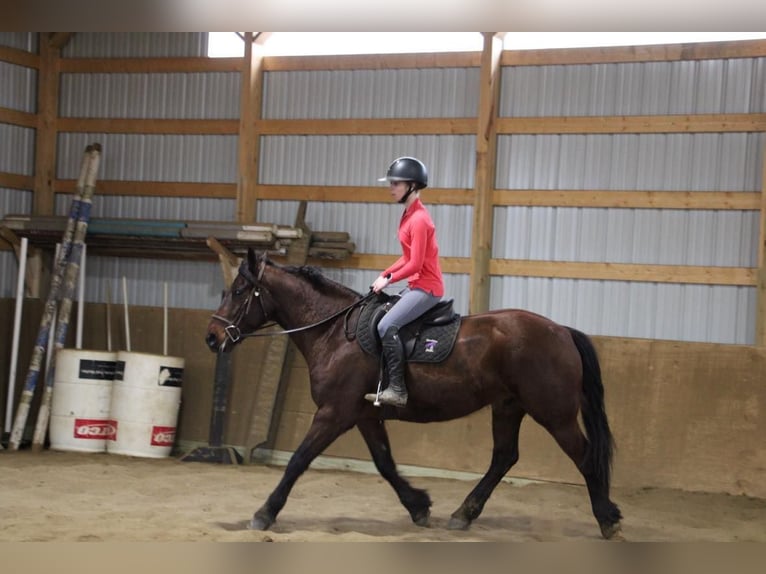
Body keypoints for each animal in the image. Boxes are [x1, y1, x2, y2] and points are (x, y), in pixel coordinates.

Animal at [206, 250, 624, 544]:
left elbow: (298, 461)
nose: (212, 337)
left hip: (554, 414)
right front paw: (419, 506)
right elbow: (385, 464)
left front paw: (264, 513)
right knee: (504, 457)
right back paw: (464, 514)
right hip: (508, 406)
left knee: (584, 456)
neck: (335, 333)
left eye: (239, 292)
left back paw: (608, 519)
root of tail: (561, 330)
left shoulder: (334, 413)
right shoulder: (364, 415)